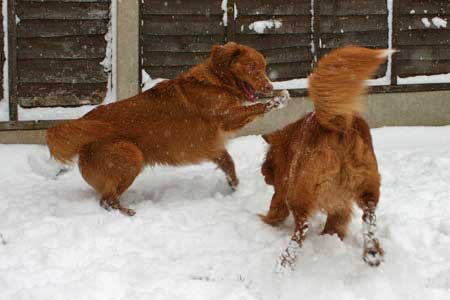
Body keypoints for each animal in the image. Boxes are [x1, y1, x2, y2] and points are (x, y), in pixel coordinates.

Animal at [45, 42, 278, 216]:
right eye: (252, 66)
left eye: (264, 67)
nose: (270, 87)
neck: (215, 81)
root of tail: (86, 121)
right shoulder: (226, 116)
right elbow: (254, 108)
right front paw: (277, 100)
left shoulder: (214, 147)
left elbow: (229, 164)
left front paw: (235, 187)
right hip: (131, 155)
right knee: (106, 200)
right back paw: (127, 212)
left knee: (105, 198)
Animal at [260, 46, 394, 268]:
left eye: (267, 162)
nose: (264, 175)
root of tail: (338, 123)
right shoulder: (341, 204)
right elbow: (336, 223)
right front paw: (332, 236)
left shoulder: (282, 187)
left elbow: (274, 209)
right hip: (368, 186)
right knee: (369, 216)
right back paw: (372, 251)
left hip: (299, 191)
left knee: (301, 228)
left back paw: (286, 261)